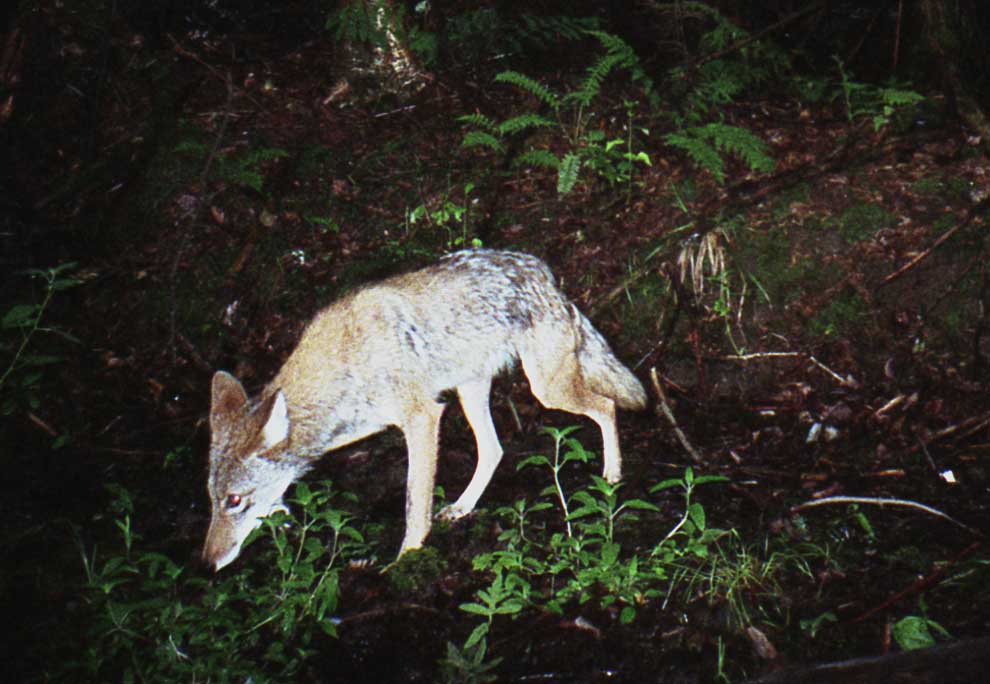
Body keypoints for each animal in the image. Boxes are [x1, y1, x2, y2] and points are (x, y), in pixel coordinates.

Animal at [203, 249, 646, 571]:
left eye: (235, 501)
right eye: (213, 499)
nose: (206, 565)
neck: (346, 364)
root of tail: (542, 272)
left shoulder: (422, 418)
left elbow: (415, 505)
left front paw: (405, 561)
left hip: (547, 391)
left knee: (606, 405)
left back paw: (613, 475)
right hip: (473, 392)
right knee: (494, 450)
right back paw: (463, 508)